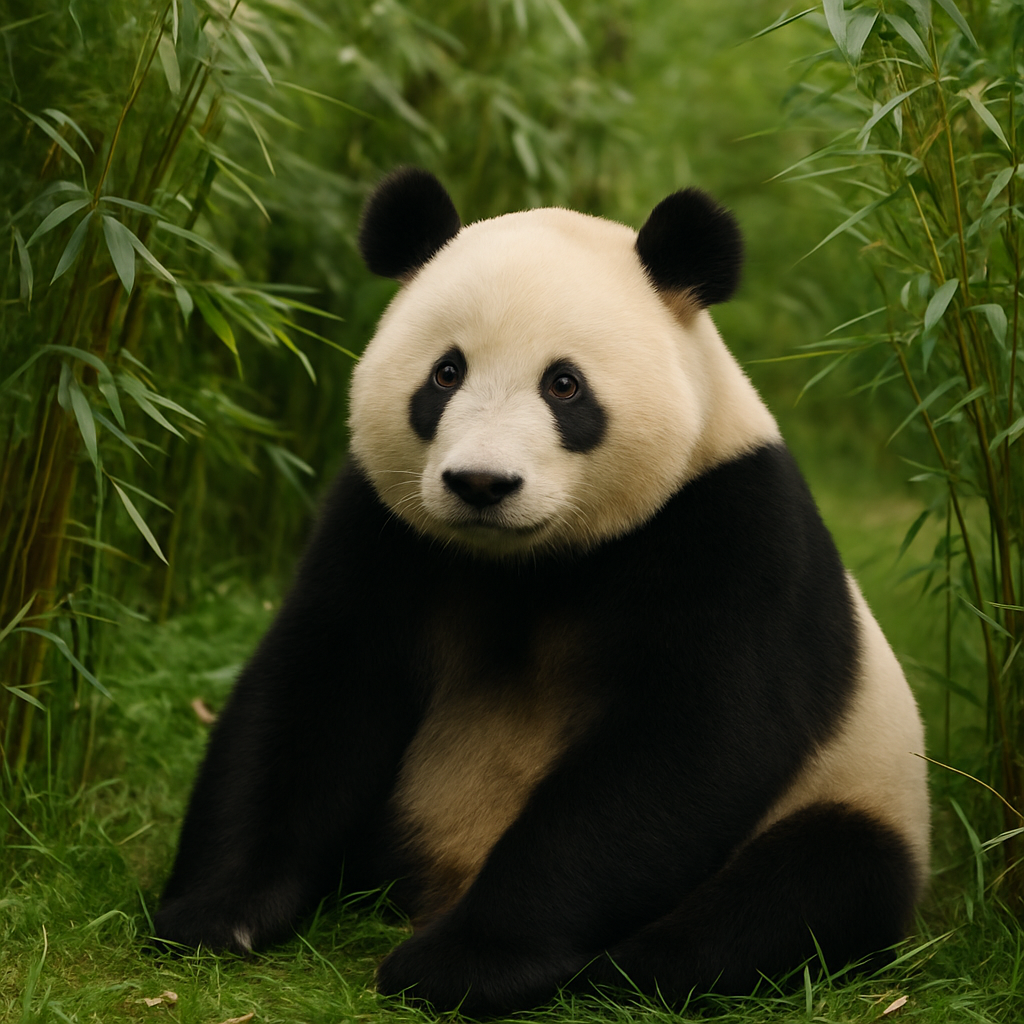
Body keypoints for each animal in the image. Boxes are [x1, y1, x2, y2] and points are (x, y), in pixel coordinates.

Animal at [154, 167, 930, 1014]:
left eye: (564, 385)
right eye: (446, 373)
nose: (480, 484)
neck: (531, 561)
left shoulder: (733, 529)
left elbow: (687, 743)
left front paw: (462, 964)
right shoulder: (388, 529)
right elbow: (320, 687)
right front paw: (218, 912)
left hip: (859, 789)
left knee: (810, 884)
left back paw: (628, 966)